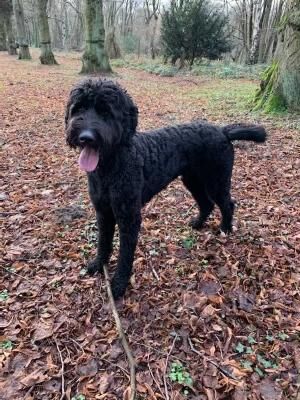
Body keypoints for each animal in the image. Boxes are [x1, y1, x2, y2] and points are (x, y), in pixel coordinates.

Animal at [65, 78, 268, 298]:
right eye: (79, 108)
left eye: (106, 112)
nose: (86, 137)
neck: (111, 166)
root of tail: (222, 131)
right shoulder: (103, 212)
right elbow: (103, 242)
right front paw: (98, 264)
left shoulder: (129, 217)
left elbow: (125, 254)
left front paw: (119, 283)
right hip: (193, 181)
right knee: (206, 204)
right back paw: (198, 223)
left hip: (216, 180)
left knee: (227, 204)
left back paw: (225, 229)